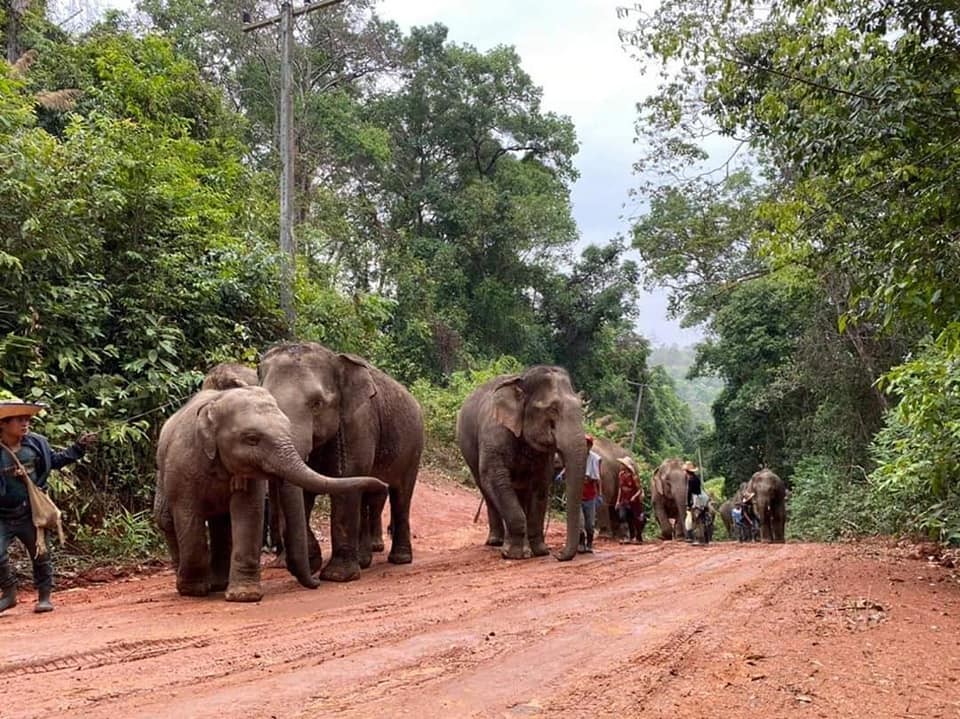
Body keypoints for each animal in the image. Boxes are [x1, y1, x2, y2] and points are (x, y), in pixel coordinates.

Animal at [154, 388, 386, 600]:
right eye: (251, 439)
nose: (317, 582)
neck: (217, 404)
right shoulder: (183, 465)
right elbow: (188, 516)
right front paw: (193, 591)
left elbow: (248, 513)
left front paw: (244, 596)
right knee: (167, 520)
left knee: (221, 523)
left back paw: (218, 584)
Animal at [256, 340, 422, 584]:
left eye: (317, 404)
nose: (313, 581)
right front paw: (313, 562)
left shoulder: (359, 424)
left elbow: (346, 484)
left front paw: (337, 576)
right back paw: (363, 561)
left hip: (414, 447)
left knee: (401, 494)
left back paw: (399, 559)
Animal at [456, 366, 584, 564]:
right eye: (553, 409)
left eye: (581, 408)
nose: (558, 555)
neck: (522, 381)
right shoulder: (495, 433)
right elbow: (495, 477)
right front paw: (516, 555)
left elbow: (541, 484)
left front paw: (540, 552)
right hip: (467, 445)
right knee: (485, 487)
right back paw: (496, 542)